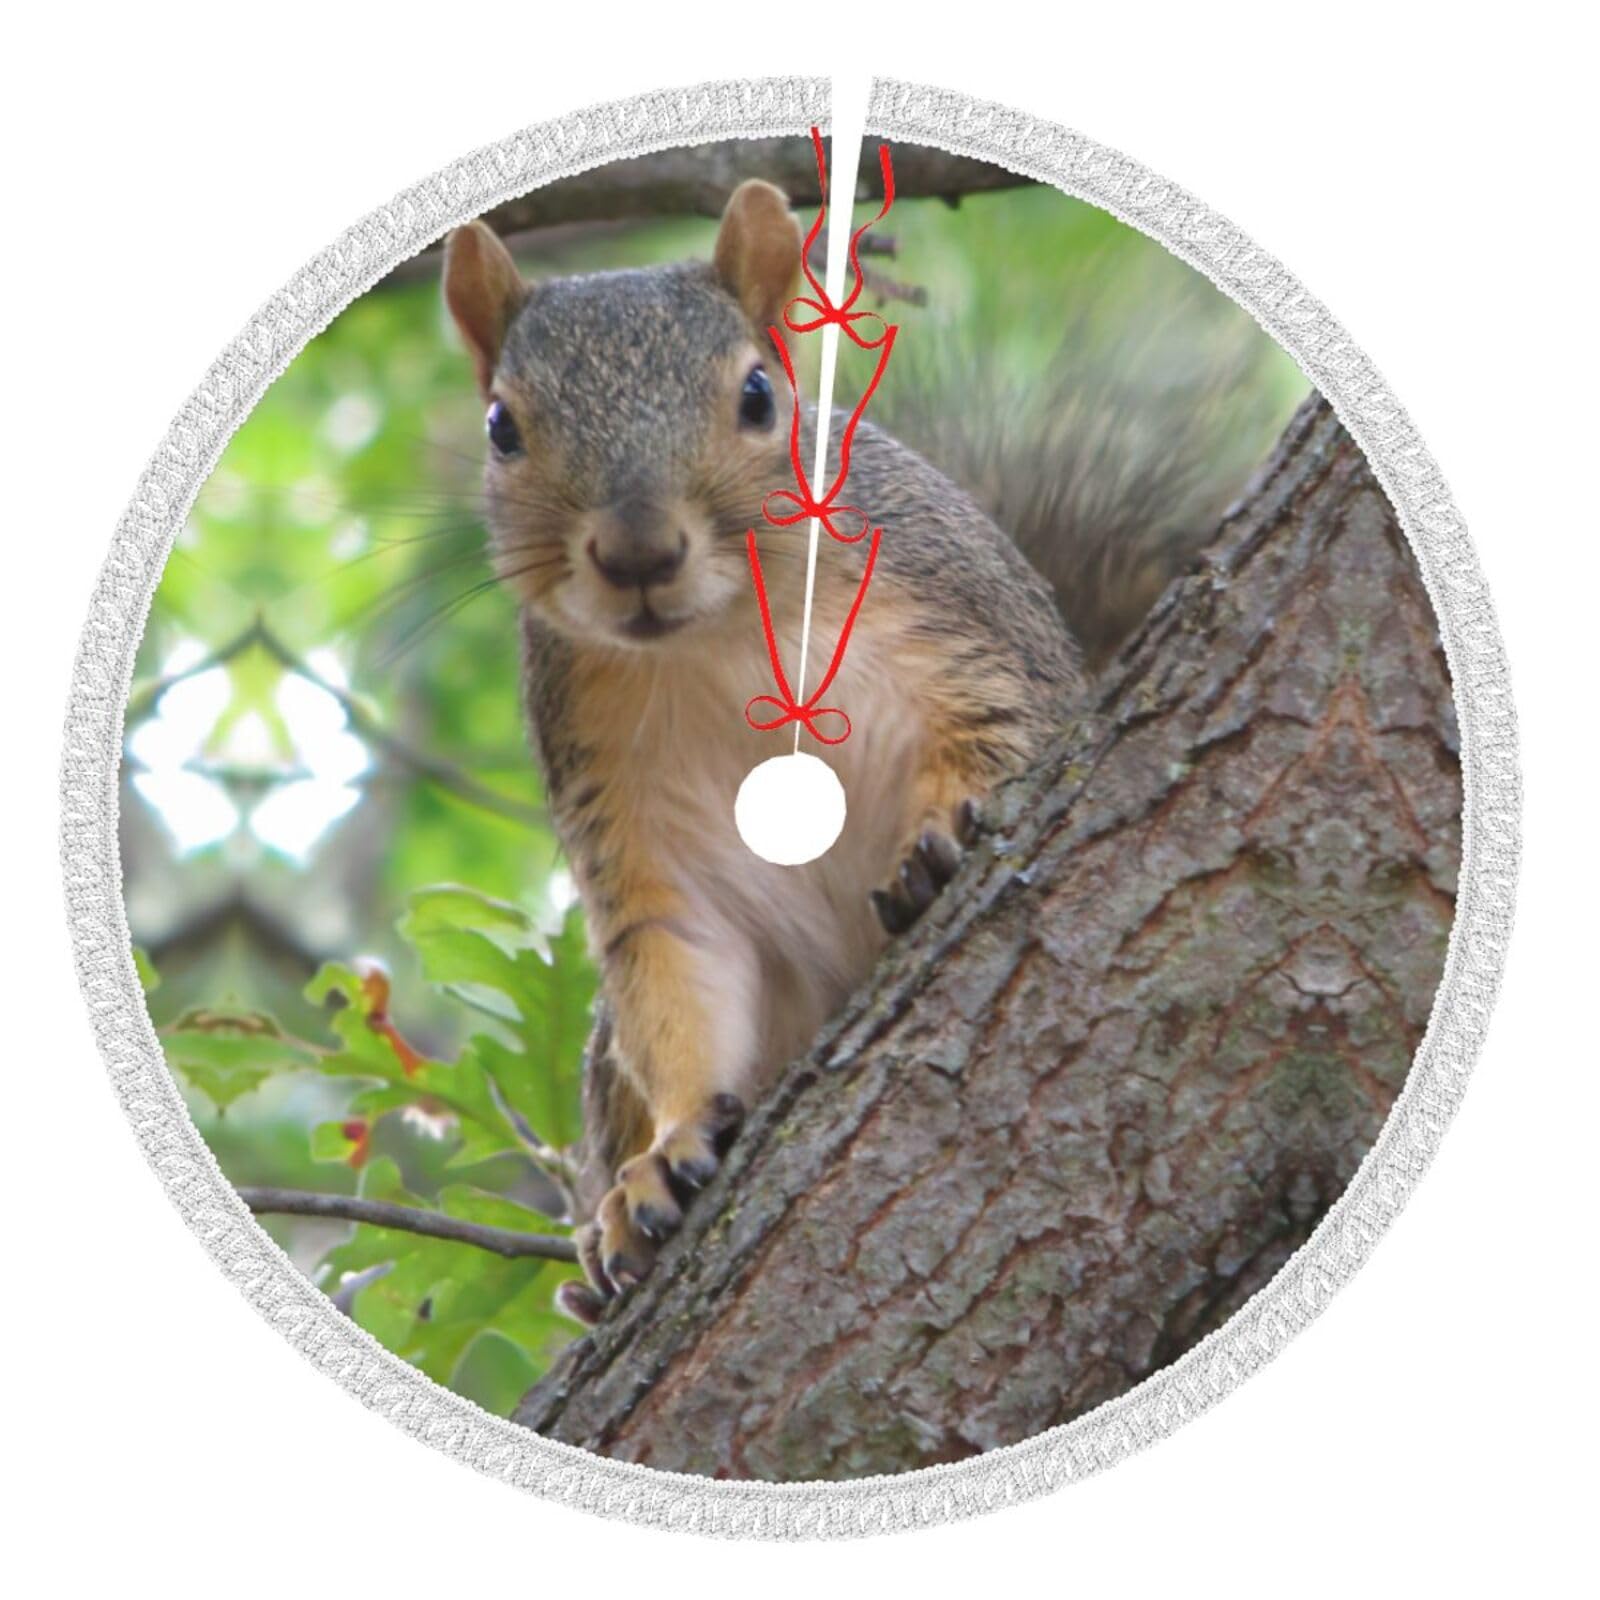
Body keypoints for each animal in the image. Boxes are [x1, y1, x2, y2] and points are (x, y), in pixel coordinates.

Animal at [443, 180, 1091, 1322]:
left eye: (758, 395)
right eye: (501, 428)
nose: (638, 554)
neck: (722, 636)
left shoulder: (967, 635)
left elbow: (1007, 731)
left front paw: (938, 841)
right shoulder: (624, 807)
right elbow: (676, 965)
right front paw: (661, 1163)